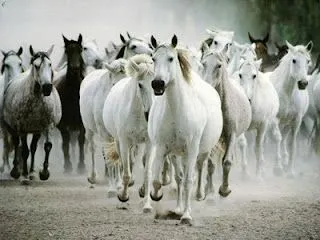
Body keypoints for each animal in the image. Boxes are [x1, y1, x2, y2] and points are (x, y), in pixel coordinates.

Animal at [2, 46, 62, 183]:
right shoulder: (22, 128)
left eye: (50, 64)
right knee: (16, 143)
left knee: (33, 148)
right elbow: (24, 150)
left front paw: (44, 173)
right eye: (36, 65)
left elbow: (47, 146)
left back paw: (32, 172)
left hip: (36, 130)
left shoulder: (48, 126)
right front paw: (23, 173)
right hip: (12, 127)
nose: (47, 87)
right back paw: (16, 171)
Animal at [101, 54, 154, 212]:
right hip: (120, 142)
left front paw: (147, 204)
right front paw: (123, 197)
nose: (150, 114)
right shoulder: (124, 141)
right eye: (140, 85)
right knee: (125, 163)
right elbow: (125, 173)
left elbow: (147, 173)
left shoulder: (150, 142)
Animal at [148, 35, 222, 225]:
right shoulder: (162, 148)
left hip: (200, 151)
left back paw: (197, 198)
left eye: (170, 58)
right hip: (176, 154)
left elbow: (189, 180)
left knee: (198, 170)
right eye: (153, 59)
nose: (157, 84)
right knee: (179, 177)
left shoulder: (192, 149)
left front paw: (187, 216)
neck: (177, 111)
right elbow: (158, 180)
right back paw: (178, 209)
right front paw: (156, 196)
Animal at [268, 40, 314, 176]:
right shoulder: (274, 120)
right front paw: (277, 168)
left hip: (287, 123)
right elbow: (277, 138)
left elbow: (291, 143)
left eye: (308, 61)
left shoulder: (296, 121)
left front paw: (290, 171)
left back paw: (285, 160)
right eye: (294, 60)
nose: (303, 83)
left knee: (284, 138)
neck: (287, 93)